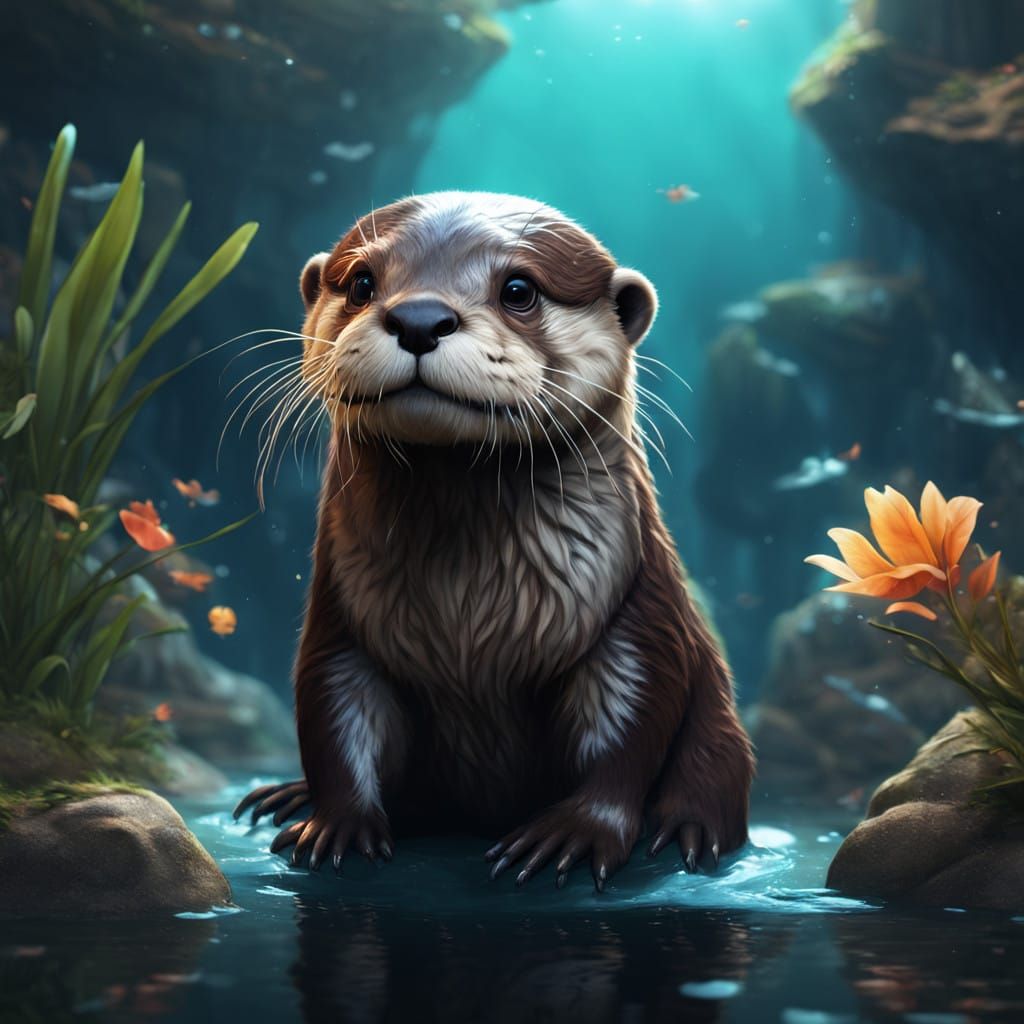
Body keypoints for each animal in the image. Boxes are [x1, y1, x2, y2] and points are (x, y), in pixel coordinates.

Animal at [235, 192, 754, 889]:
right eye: (363, 283)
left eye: (518, 289)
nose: (419, 318)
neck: (469, 616)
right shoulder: (339, 614)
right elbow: (332, 709)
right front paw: (334, 824)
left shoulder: (637, 610)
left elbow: (633, 724)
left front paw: (577, 833)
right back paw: (285, 795)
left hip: (720, 732)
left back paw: (689, 830)